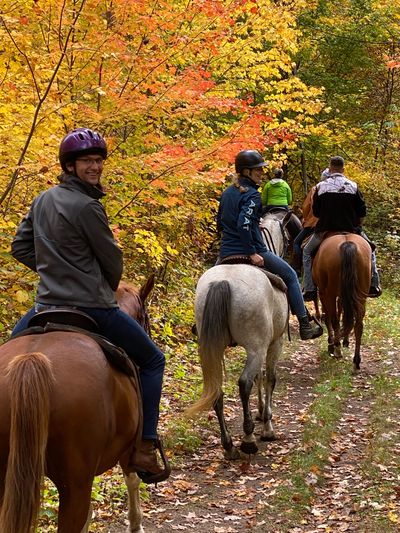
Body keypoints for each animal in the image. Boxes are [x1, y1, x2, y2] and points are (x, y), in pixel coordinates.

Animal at [0, 274, 155, 532]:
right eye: (146, 318)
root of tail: (30, 360)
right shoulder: (128, 449)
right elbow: (132, 480)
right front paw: (136, 524)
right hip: (74, 487)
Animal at [186, 216, 290, 458]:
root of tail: (222, 282)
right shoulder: (273, 344)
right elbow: (269, 378)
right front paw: (267, 425)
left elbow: (260, 377)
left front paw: (260, 412)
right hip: (256, 348)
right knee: (244, 383)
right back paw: (248, 439)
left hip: (214, 348)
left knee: (217, 389)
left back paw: (228, 444)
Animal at [312, 234, 372, 370]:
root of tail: (347, 243)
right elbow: (344, 314)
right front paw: (345, 340)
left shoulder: (324, 293)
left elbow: (329, 316)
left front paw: (332, 343)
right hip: (361, 296)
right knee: (358, 324)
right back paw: (356, 361)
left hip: (329, 293)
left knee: (334, 320)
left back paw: (337, 349)